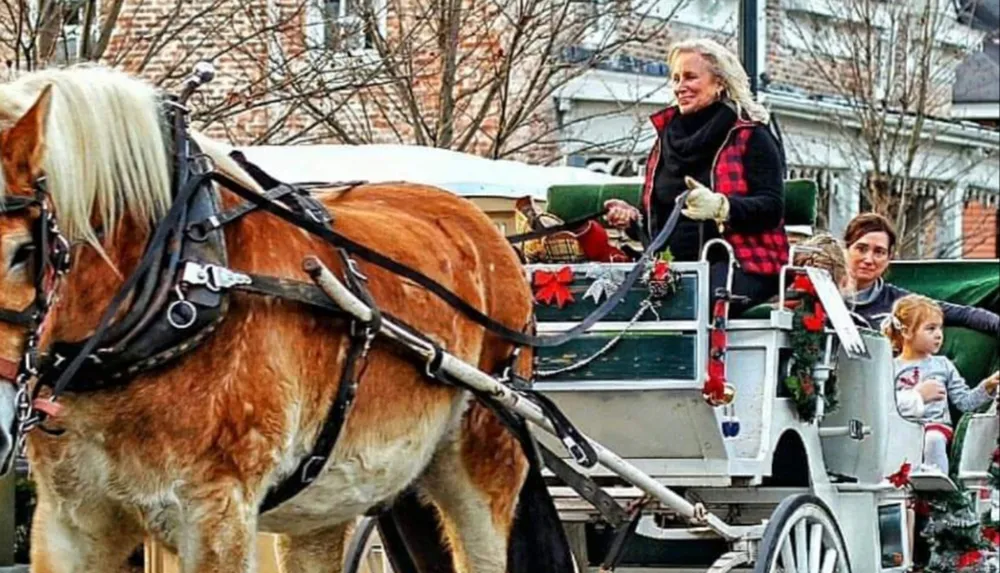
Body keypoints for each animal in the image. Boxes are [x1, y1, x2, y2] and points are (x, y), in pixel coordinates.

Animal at [0, 65, 572, 568]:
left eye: (23, 252)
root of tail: (482, 225)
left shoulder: (216, 514)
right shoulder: (70, 522)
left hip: (484, 460)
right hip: (332, 497)